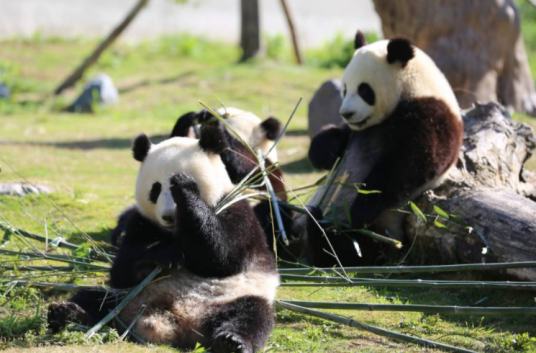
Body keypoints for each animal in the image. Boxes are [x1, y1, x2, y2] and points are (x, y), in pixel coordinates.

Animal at [47, 121, 278, 352]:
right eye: (156, 189)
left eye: (179, 189)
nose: (168, 216)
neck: (176, 230)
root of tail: (178, 324)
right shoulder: (141, 222)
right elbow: (121, 269)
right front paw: (165, 254)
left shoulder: (238, 212)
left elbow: (223, 256)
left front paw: (185, 187)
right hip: (128, 296)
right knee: (96, 299)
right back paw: (67, 314)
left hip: (233, 297)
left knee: (252, 315)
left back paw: (231, 341)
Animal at [302, 31, 464, 266]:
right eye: (344, 89)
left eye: (364, 90)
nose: (346, 113)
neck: (415, 88)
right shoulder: (358, 130)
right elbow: (337, 138)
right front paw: (323, 151)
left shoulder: (434, 117)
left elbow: (407, 165)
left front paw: (361, 207)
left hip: (384, 230)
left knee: (352, 248)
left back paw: (318, 228)